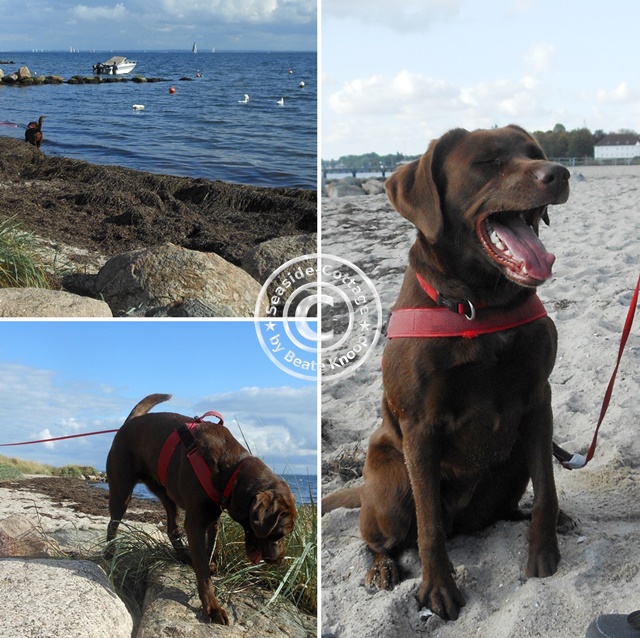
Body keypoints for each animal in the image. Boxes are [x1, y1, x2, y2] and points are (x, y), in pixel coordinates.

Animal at [324, 127, 568, 624]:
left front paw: (543, 551)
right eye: (488, 163)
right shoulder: (420, 427)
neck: (483, 305)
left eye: (534, 153)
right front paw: (438, 589)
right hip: (392, 485)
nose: (559, 173)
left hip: (513, 459)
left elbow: (547, 487)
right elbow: (429, 524)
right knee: (381, 537)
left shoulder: (539, 400)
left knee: (507, 505)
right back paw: (381, 568)